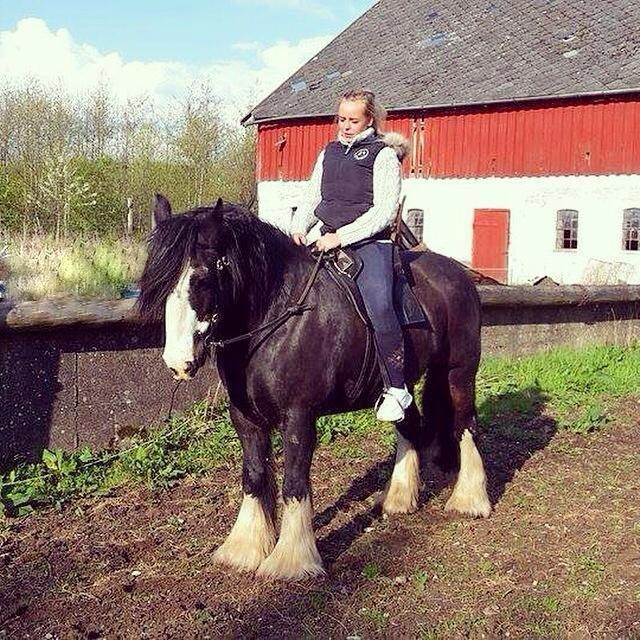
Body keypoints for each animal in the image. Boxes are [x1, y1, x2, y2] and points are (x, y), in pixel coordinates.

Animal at [139, 195, 490, 580]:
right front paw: (244, 548)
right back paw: (398, 499)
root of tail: (456, 273)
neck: (277, 317)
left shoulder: (298, 417)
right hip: (405, 380)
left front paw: (291, 560)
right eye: (158, 283)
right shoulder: (245, 418)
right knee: (411, 426)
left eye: (200, 278)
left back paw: (469, 500)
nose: (178, 362)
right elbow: (254, 475)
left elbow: (294, 482)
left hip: (459, 371)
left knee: (465, 425)